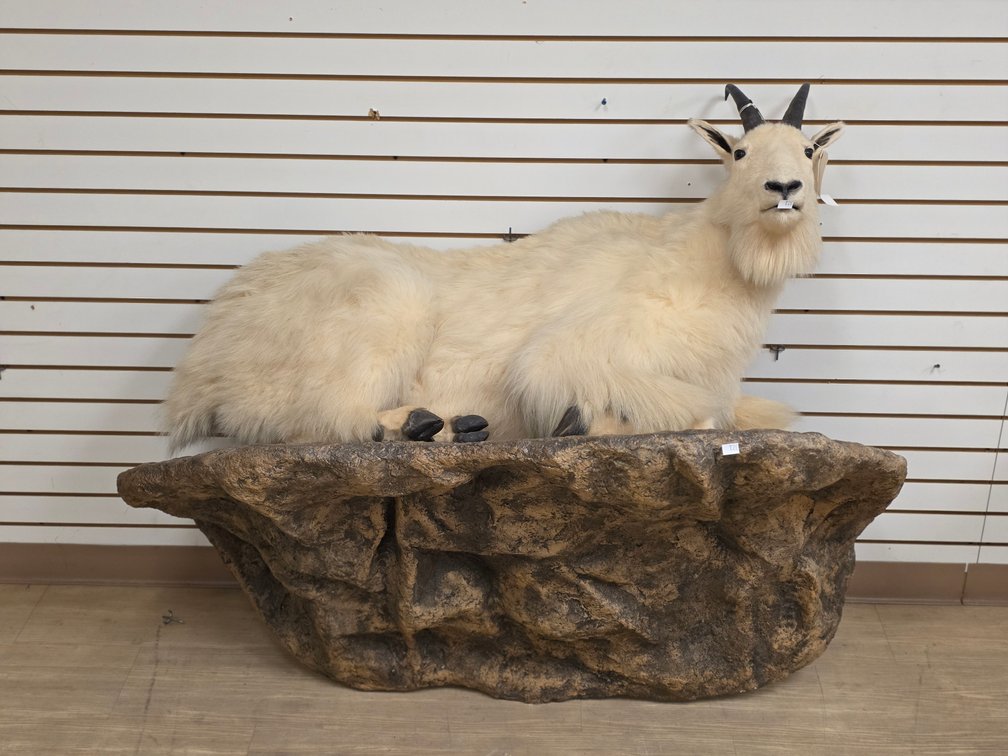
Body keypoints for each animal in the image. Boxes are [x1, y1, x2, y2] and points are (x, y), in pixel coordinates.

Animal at [164, 84, 844, 451]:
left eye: (810, 146)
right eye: (740, 151)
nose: (784, 189)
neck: (710, 265)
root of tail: (201, 365)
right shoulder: (578, 353)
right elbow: (694, 415)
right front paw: (578, 424)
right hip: (381, 312)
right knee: (318, 420)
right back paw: (424, 425)